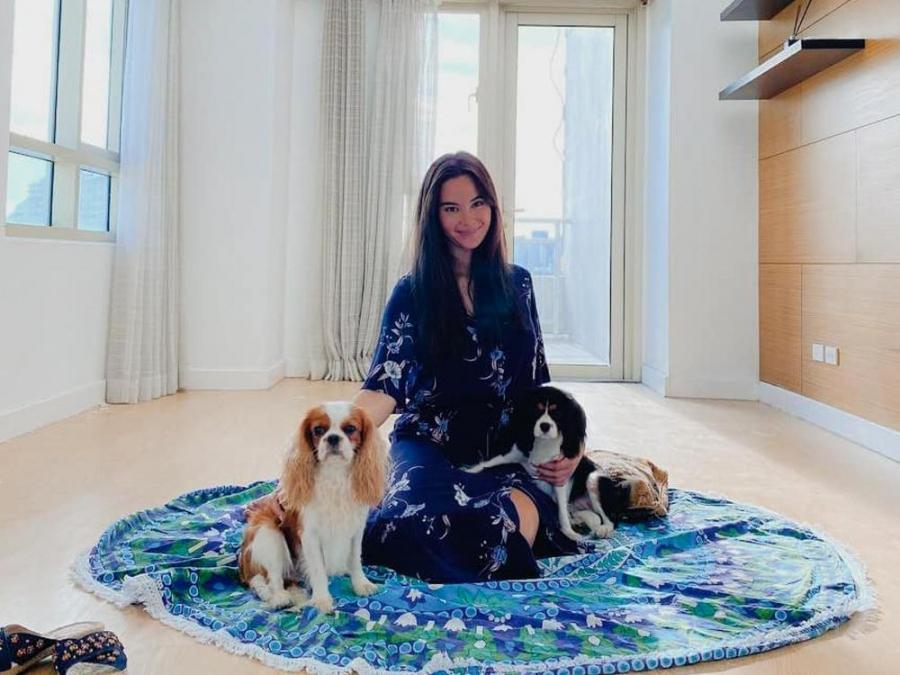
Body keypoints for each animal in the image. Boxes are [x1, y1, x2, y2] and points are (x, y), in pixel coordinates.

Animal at [239, 402, 388, 613]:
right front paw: (321, 600)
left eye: (350, 429)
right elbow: (318, 570)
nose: (333, 438)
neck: (334, 475)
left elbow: (355, 558)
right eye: (318, 430)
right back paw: (280, 598)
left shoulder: (356, 529)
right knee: (269, 578)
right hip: (267, 531)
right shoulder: (309, 535)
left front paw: (361, 584)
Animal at [465, 385, 630, 541]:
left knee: (611, 519)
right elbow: (492, 461)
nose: (545, 426)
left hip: (594, 479)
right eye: (536, 410)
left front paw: (569, 533)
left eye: (557, 413)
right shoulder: (516, 454)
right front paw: (469, 471)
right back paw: (577, 521)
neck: (544, 443)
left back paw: (603, 529)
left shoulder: (560, 478)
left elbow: (561, 511)